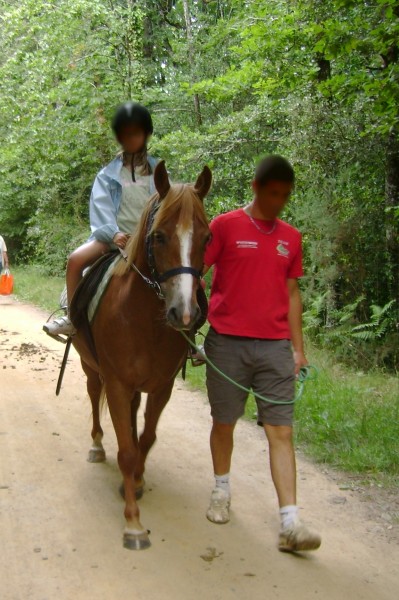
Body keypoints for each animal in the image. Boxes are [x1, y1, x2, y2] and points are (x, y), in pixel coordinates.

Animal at [73, 159, 214, 548]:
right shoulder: (117, 383)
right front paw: (133, 523)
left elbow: (146, 440)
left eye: (207, 238)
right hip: (90, 366)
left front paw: (135, 481)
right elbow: (125, 450)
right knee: (94, 396)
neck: (146, 319)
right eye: (160, 236)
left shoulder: (162, 386)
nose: (184, 314)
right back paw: (96, 446)